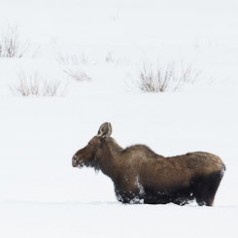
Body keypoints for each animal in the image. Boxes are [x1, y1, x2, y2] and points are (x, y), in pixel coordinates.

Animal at [71, 122, 226, 205]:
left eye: (90, 143)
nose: (74, 158)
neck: (113, 171)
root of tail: (223, 166)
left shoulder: (134, 197)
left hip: (205, 196)